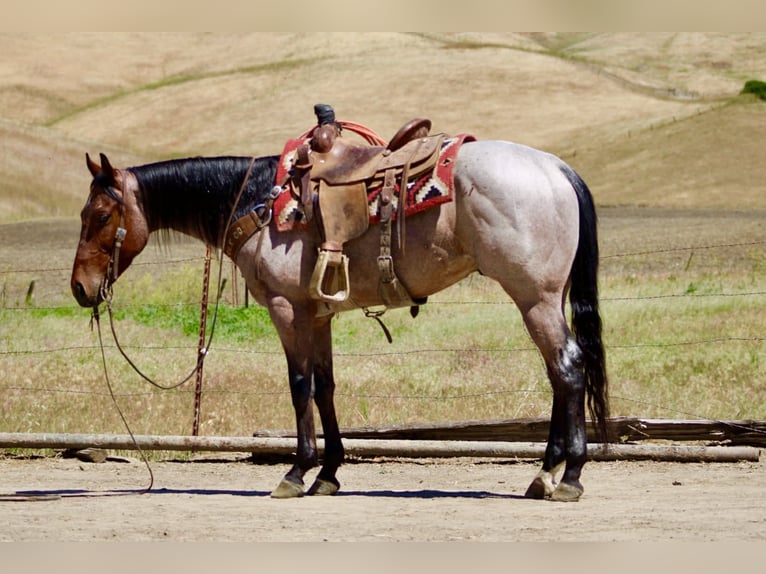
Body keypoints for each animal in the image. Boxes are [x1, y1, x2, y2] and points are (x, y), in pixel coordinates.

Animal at [70, 133, 609, 502]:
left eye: (100, 216)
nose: (79, 288)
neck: (258, 202)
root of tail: (556, 168)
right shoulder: (318, 315)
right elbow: (325, 386)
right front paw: (328, 474)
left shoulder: (287, 310)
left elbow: (299, 385)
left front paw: (295, 473)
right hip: (547, 297)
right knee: (559, 372)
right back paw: (545, 473)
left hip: (534, 297)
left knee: (567, 368)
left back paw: (569, 477)